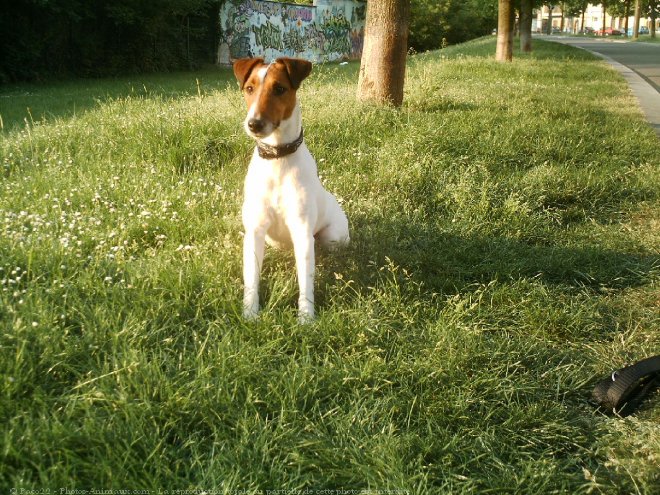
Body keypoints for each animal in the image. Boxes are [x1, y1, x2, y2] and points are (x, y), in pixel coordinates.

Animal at [233, 57, 350, 322]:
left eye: (279, 89)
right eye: (249, 88)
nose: (254, 124)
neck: (277, 158)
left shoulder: (302, 231)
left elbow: (305, 281)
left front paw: (306, 318)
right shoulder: (255, 231)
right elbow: (251, 280)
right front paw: (249, 314)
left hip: (332, 236)